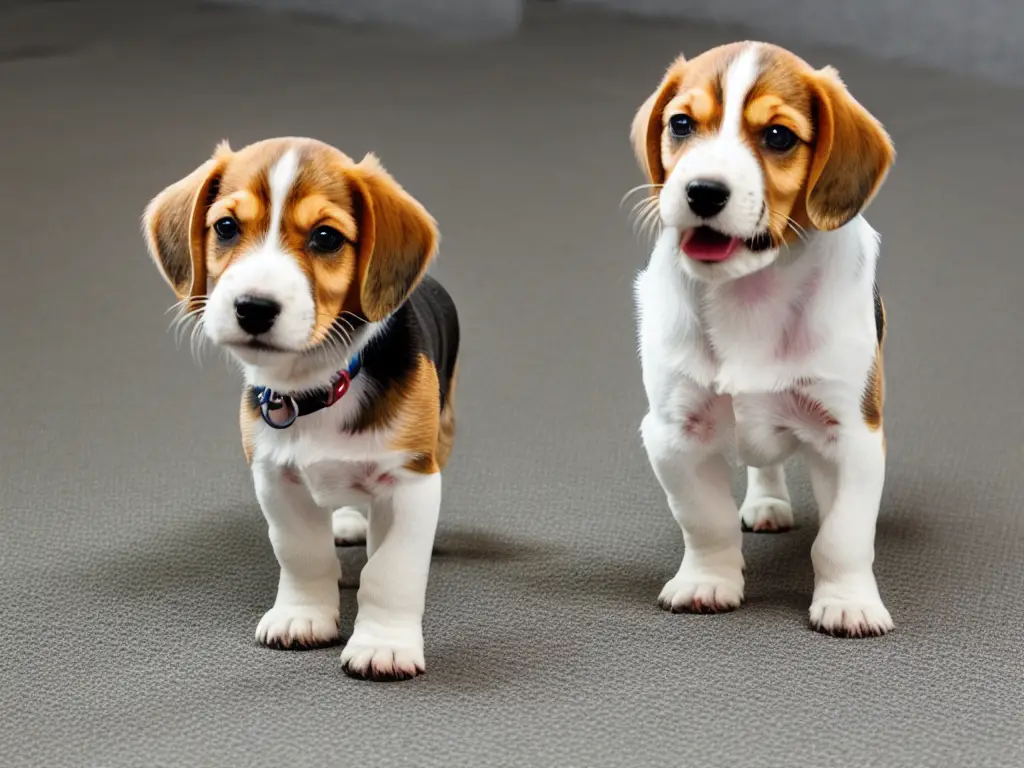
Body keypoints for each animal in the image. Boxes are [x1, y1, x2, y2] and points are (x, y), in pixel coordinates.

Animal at [143, 138, 460, 679]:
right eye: (225, 227)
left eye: (326, 237)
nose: (253, 307)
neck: (316, 384)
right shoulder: (275, 477)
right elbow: (301, 553)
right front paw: (303, 617)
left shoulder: (410, 477)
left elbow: (391, 571)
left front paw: (384, 645)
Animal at [630, 40, 897, 638]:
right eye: (680, 124)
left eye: (778, 136)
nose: (702, 191)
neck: (750, 292)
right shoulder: (672, 433)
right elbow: (705, 520)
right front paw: (708, 581)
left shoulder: (851, 433)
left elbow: (843, 535)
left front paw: (848, 602)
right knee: (763, 464)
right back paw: (767, 503)